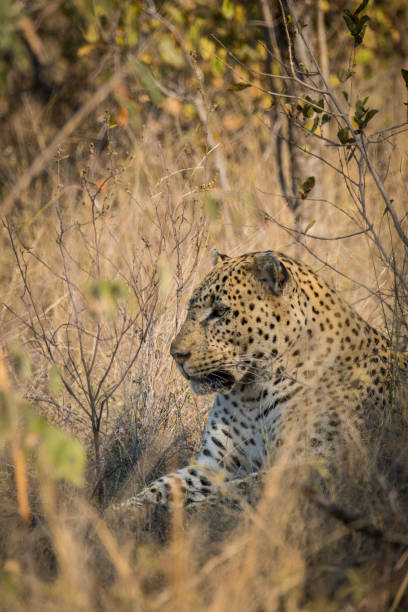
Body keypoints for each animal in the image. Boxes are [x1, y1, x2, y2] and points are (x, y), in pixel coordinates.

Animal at [111, 249, 404, 512]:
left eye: (219, 312)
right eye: (191, 309)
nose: (176, 355)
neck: (252, 393)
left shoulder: (305, 462)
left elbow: (233, 492)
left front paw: (174, 514)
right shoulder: (214, 464)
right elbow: (160, 486)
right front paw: (117, 512)